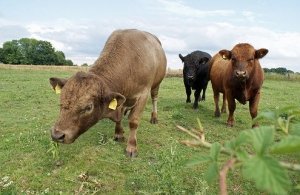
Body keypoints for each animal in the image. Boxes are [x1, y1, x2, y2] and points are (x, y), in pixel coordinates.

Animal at [49, 29, 166, 157]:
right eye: (60, 102)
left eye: (89, 107)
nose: (57, 135)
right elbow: (120, 118)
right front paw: (119, 134)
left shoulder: (143, 94)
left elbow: (134, 121)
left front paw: (131, 147)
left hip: (156, 85)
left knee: (154, 99)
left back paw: (154, 117)